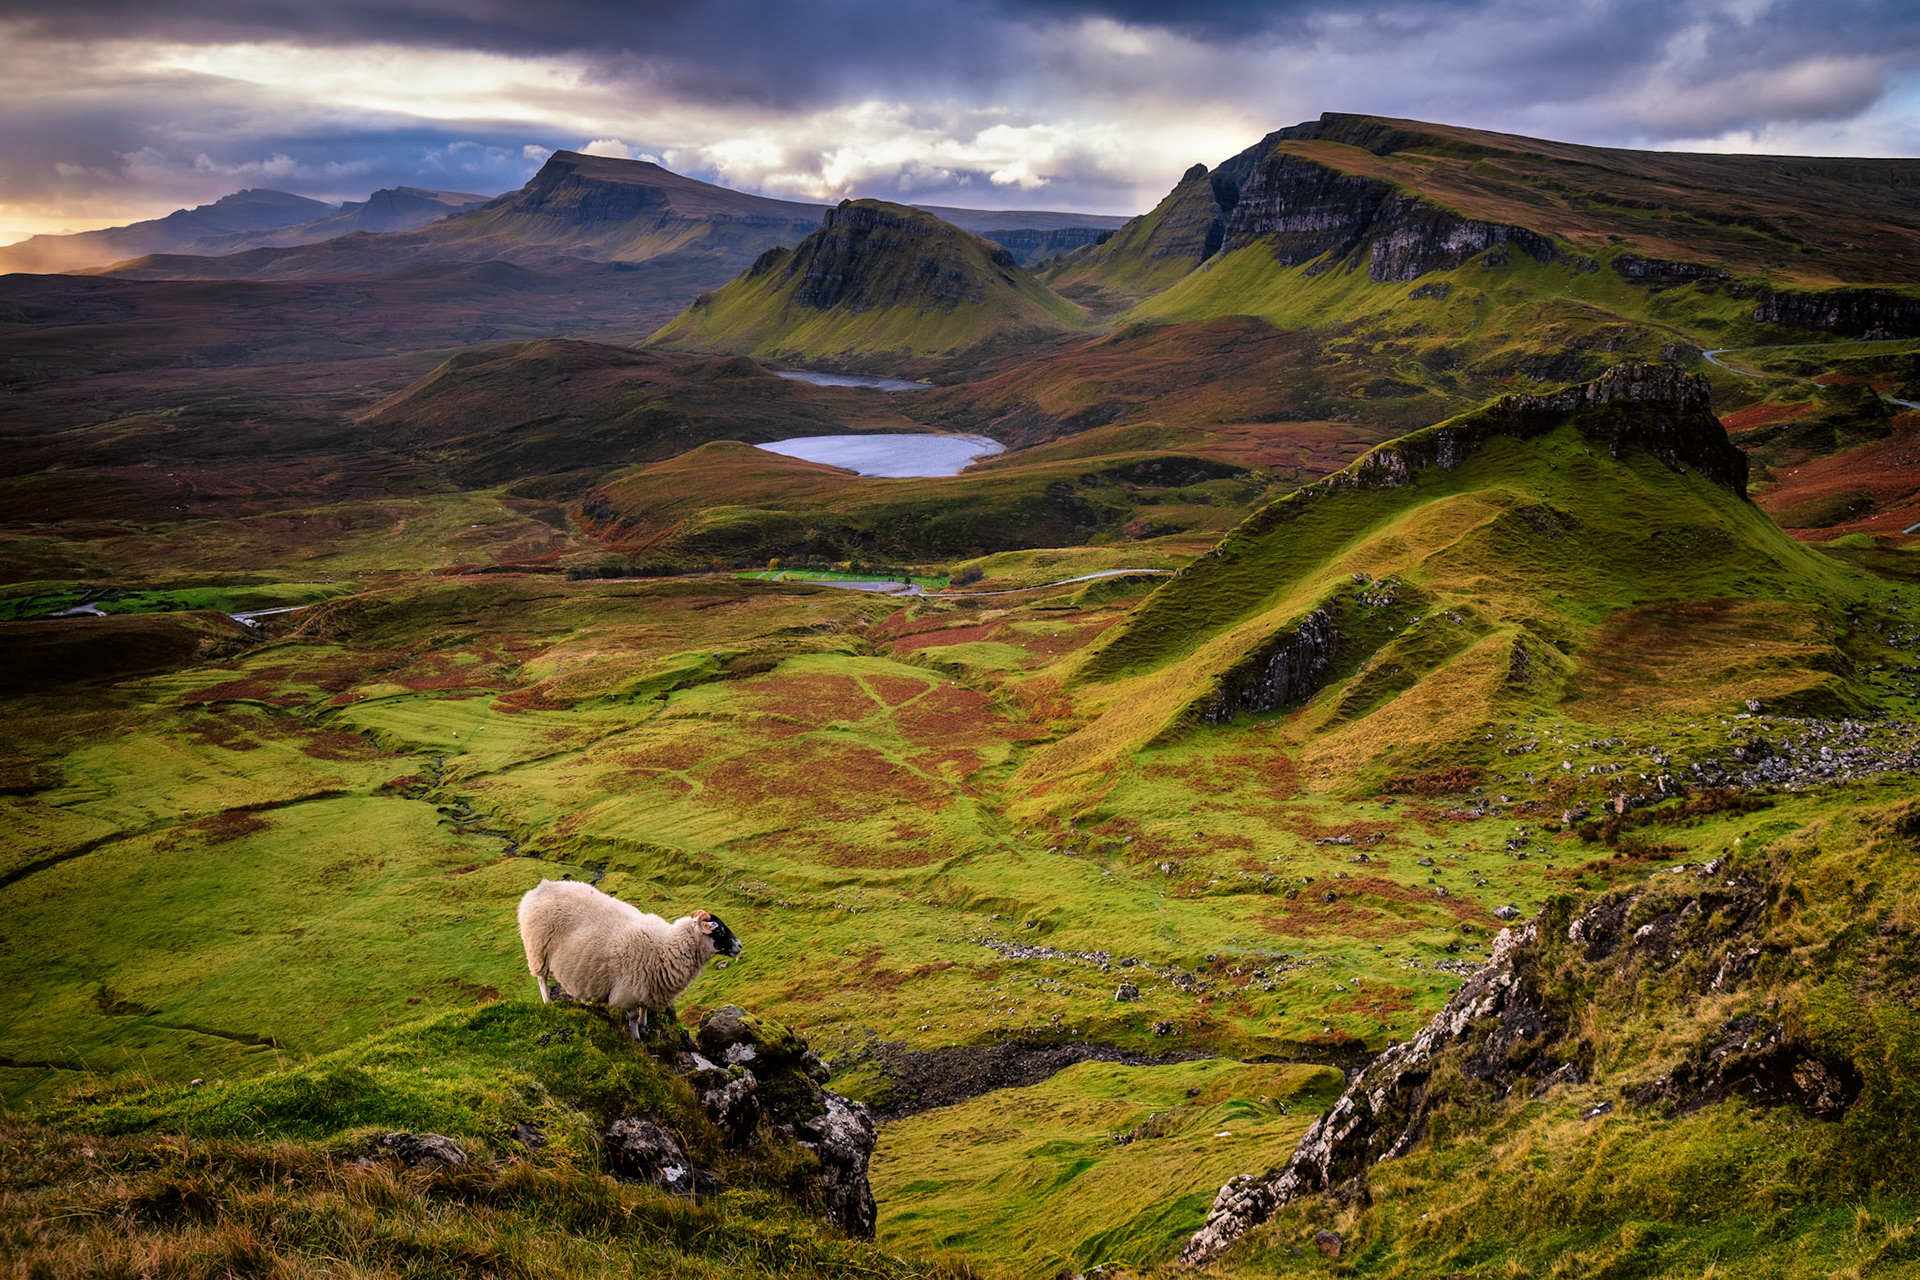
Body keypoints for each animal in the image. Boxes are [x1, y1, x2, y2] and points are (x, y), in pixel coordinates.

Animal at [517, 879, 742, 1039]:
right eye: (719, 930)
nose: (739, 946)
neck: (665, 946)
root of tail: (541, 887)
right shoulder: (629, 990)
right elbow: (633, 1016)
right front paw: (636, 1037)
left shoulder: (649, 985)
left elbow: (645, 1008)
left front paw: (645, 1026)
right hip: (537, 950)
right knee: (542, 979)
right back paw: (547, 1001)